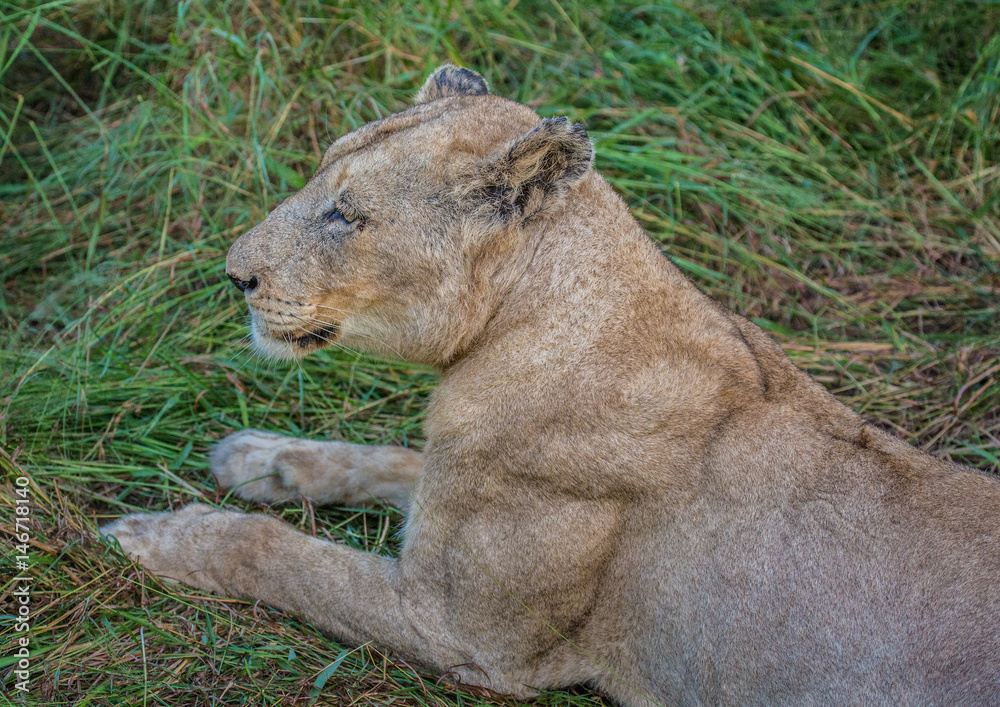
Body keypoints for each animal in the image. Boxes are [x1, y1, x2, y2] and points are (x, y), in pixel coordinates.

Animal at [102, 65, 1000, 706]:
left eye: (347, 215)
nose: (233, 274)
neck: (501, 339)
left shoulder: (464, 636)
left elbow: (275, 553)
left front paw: (159, 533)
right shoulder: (446, 493)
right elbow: (392, 458)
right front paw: (259, 457)